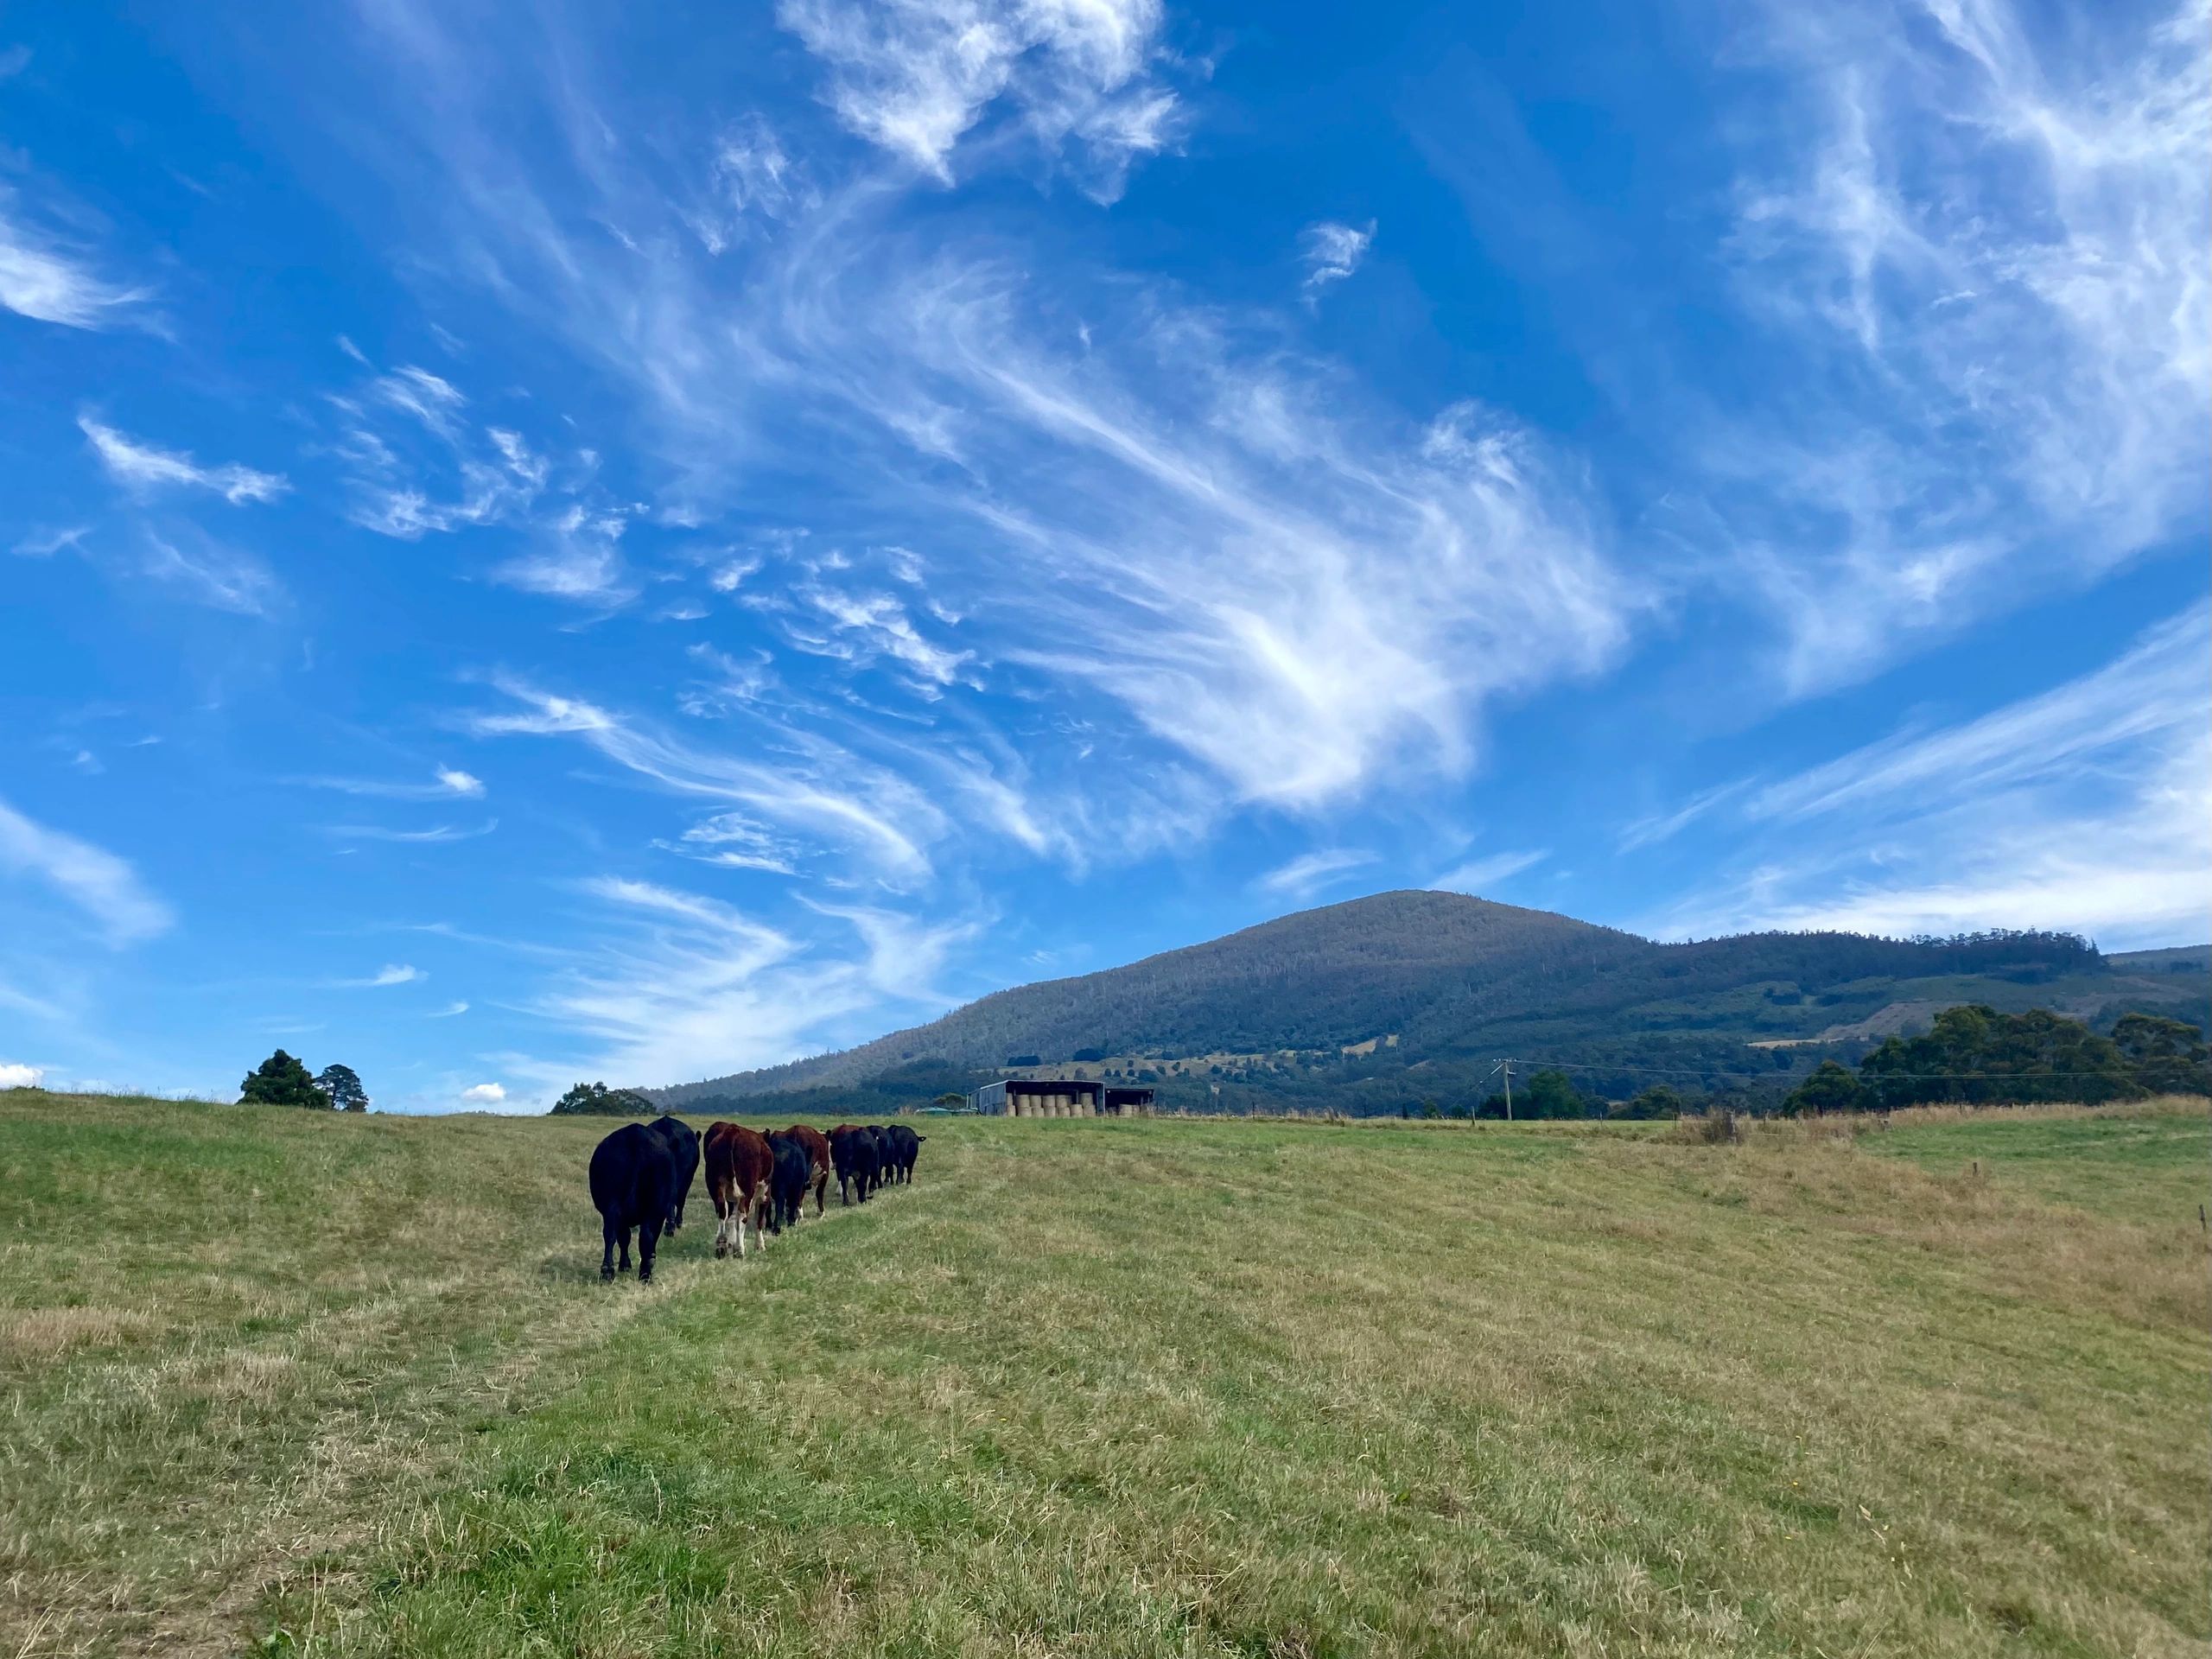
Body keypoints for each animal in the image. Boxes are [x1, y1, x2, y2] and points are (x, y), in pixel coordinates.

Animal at [588, 1123, 672, 1292]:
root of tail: (636, 1136)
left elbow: (623, 1237)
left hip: (614, 1204)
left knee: (611, 1234)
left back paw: (608, 1272)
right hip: (652, 1208)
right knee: (644, 1236)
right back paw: (644, 1274)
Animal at [712, 1123, 783, 1265]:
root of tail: (733, 1131)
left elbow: (732, 1219)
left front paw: (731, 1245)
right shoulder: (765, 1194)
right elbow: (759, 1220)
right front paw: (760, 1246)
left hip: (716, 1186)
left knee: (722, 1212)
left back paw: (721, 1247)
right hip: (748, 1191)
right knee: (742, 1217)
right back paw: (740, 1250)